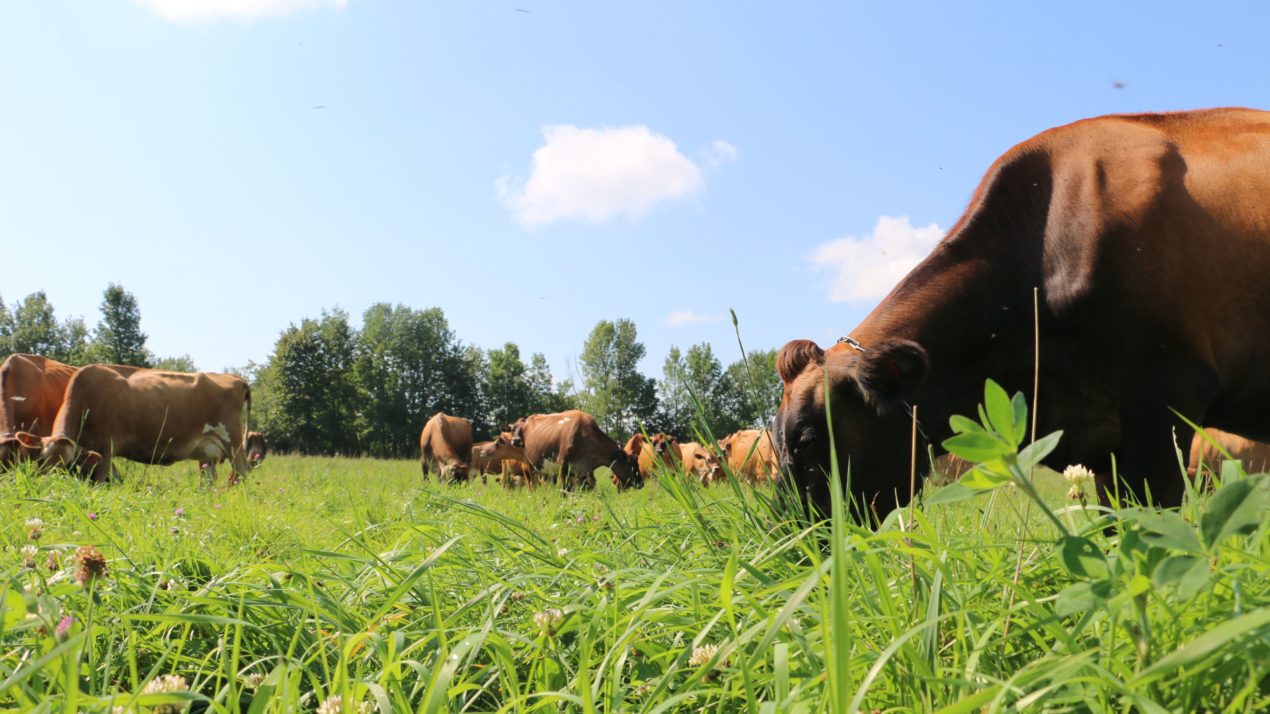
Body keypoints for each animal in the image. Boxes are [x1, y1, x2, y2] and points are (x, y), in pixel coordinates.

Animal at [18, 360, 256, 482]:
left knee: (242, 475)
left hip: (234, 443)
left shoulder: (107, 448)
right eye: (41, 460)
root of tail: (235, 378)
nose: (50, 484)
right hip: (208, 453)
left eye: (68, 464)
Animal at [505, 409, 645, 492]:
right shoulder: (563, 466)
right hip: (529, 463)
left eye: (638, 463)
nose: (641, 484)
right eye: (631, 465)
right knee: (532, 483)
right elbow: (566, 490)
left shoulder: (582, 471)